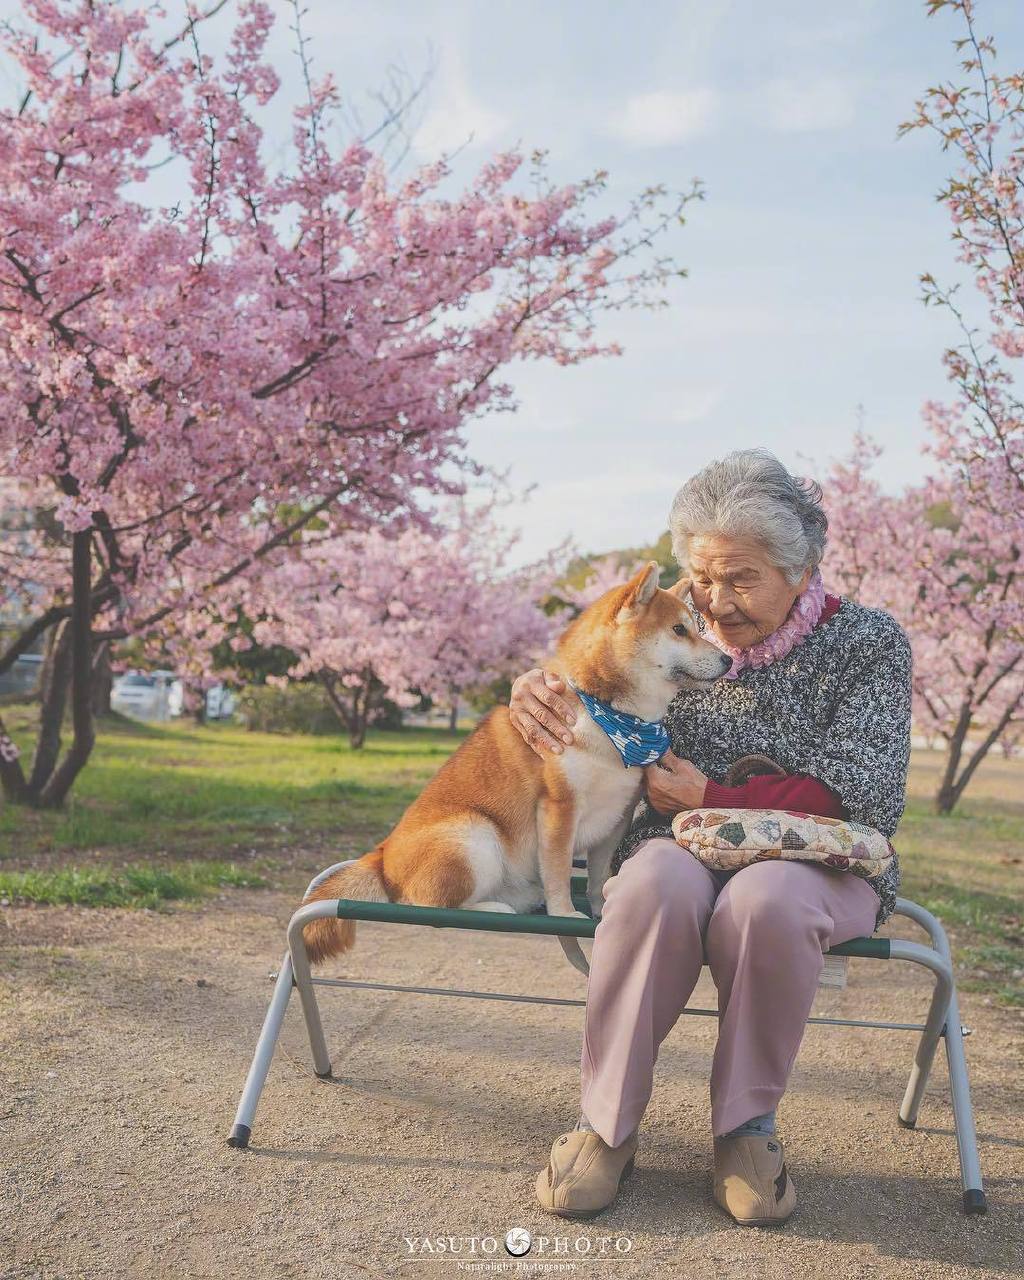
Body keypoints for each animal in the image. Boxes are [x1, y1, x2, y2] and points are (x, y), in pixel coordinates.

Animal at [299, 560, 732, 962]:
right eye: (679, 630)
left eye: (695, 627)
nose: (728, 660)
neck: (612, 717)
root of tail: (381, 856)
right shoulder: (559, 809)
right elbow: (559, 873)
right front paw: (565, 914)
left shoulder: (617, 814)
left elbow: (596, 876)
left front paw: (601, 908)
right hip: (474, 834)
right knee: (425, 904)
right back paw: (492, 907)